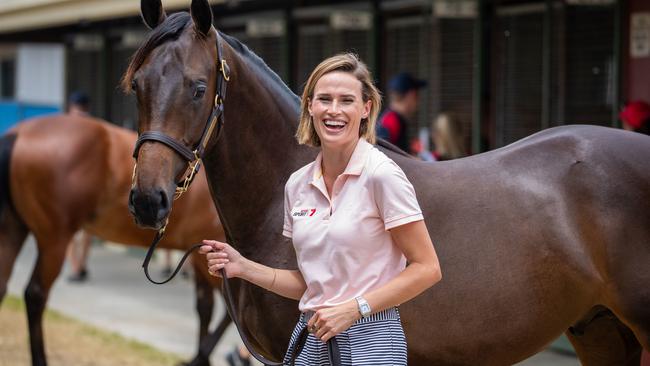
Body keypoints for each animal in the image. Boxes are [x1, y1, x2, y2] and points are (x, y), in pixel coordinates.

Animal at [0, 115, 233, 366]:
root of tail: (19, 133)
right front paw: (199, 357)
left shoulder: (200, 254)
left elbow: (205, 307)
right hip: (54, 240)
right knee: (36, 295)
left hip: (12, 230)